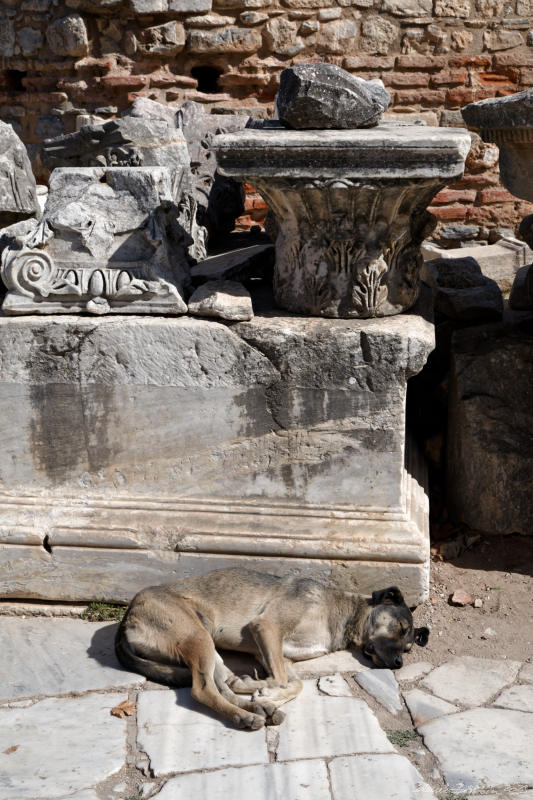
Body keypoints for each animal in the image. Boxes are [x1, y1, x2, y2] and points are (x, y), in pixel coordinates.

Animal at [115, 564, 428, 728]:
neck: (342, 615)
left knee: (222, 685)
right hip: (197, 636)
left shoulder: (277, 652)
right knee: (202, 690)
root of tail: (128, 614)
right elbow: (281, 679)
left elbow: (294, 683)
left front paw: (260, 690)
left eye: (408, 648)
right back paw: (245, 716)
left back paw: (257, 707)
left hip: (207, 641)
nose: (399, 664)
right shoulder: (266, 628)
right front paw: (266, 690)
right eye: (401, 628)